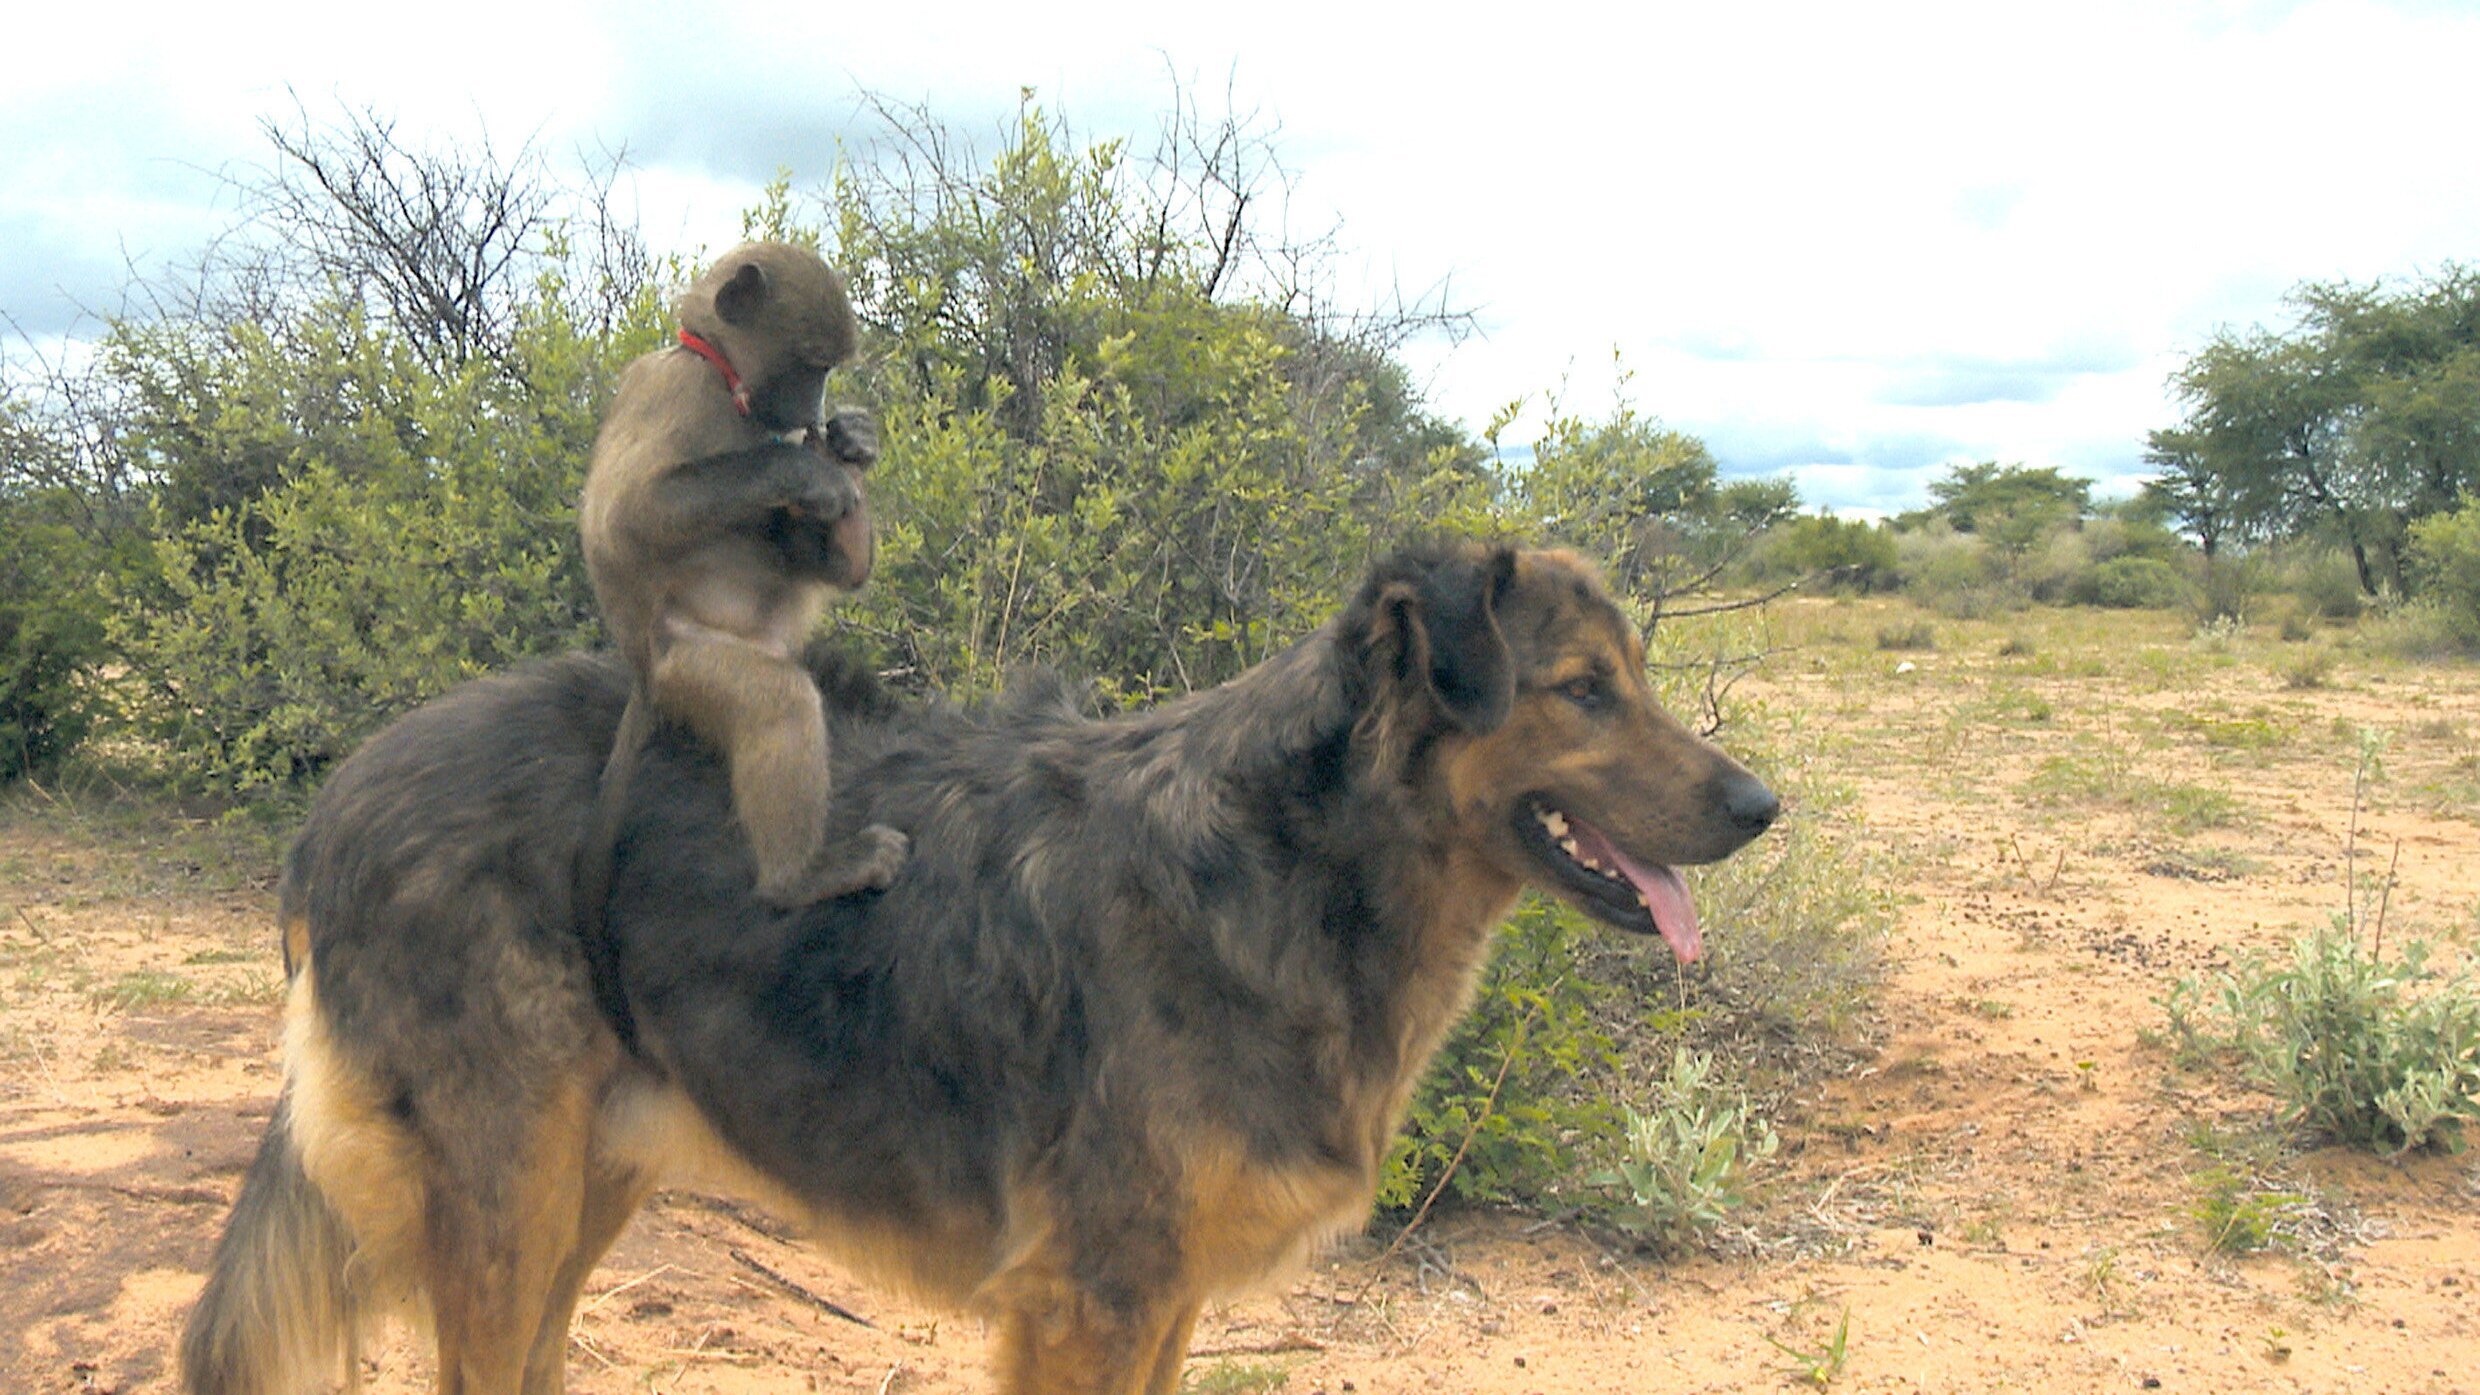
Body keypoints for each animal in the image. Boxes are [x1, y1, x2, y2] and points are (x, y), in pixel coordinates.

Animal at [183, 541, 1775, 1390]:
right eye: (1581, 690)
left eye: (1631, 681)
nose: (1762, 807)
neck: (1285, 861)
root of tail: (352, 781)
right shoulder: (1091, 1297)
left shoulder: (1161, 1297)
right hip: (505, 1190)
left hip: (583, 1183)